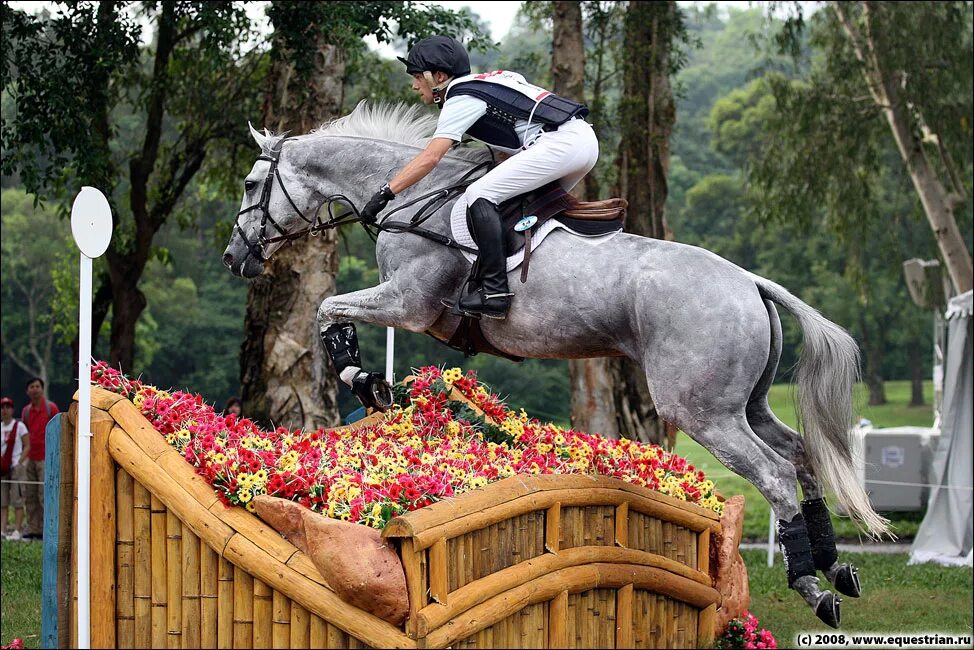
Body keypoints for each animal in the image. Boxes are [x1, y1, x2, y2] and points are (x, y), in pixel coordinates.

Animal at [223, 100, 892, 624]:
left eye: (253, 187)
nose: (234, 258)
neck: (413, 196)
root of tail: (750, 281)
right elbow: (330, 312)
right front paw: (373, 386)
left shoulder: (409, 305)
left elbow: (327, 309)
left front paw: (365, 382)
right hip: (743, 403)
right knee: (800, 456)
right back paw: (836, 569)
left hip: (703, 410)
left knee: (775, 474)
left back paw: (812, 587)